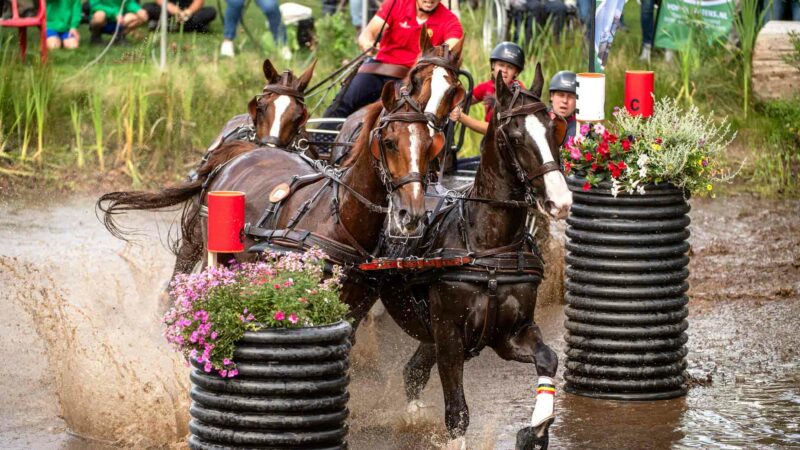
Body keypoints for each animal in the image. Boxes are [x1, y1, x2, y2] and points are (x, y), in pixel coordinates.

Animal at [378, 64, 572, 450]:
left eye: (553, 129)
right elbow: (457, 411)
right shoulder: (449, 334)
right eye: (515, 136)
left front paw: (535, 429)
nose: (561, 200)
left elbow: (548, 358)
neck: (488, 249)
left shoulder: (509, 333)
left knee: (413, 372)